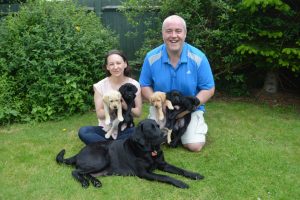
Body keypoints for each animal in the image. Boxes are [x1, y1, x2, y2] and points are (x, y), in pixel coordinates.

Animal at [55, 119, 204, 189]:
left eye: (157, 126)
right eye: (151, 129)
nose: (165, 134)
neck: (149, 151)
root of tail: (79, 153)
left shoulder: (163, 164)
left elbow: (180, 170)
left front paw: (195, 175)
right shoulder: (145, 173)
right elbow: (166, 177)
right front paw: (180, 183)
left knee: (87, 173)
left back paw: (96, 182)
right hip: (101, 158)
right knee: (76, 171)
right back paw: (84, 183)